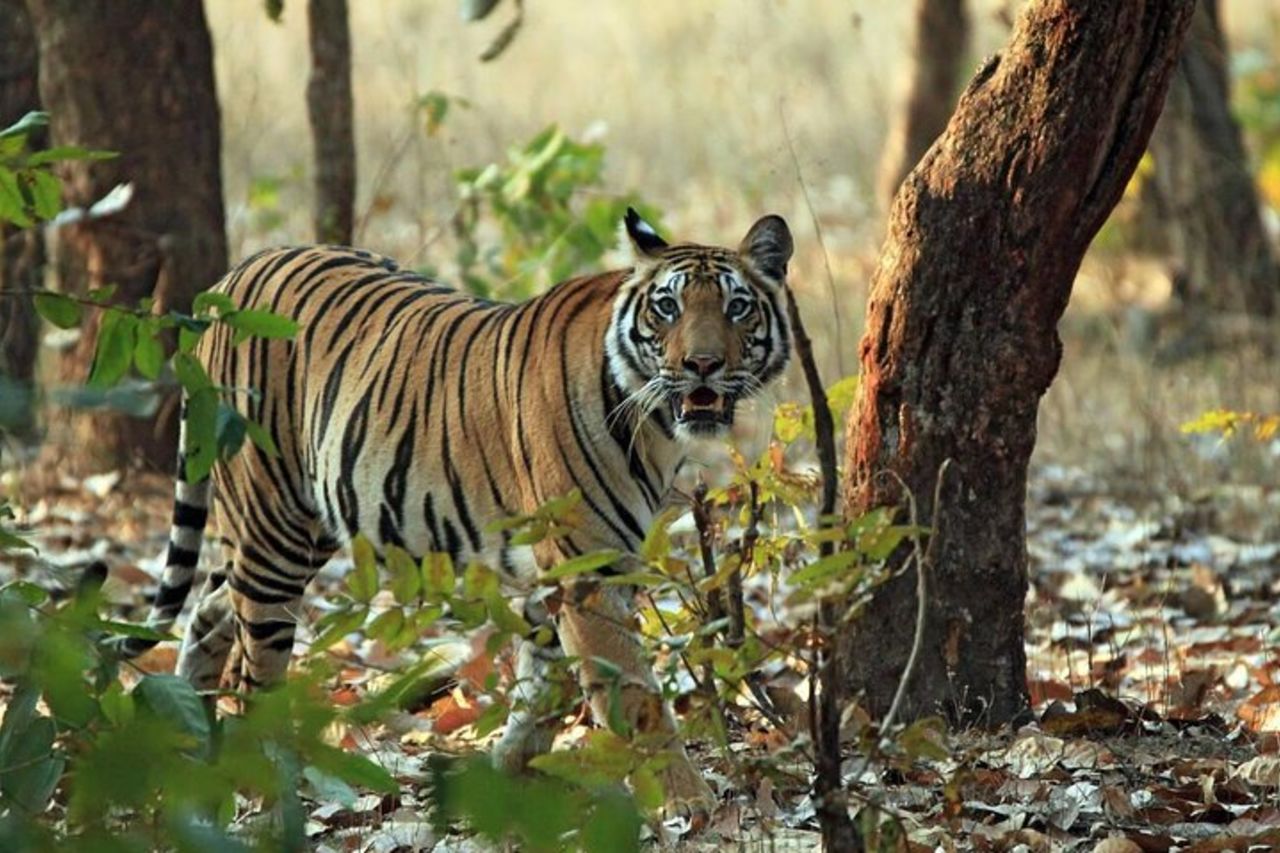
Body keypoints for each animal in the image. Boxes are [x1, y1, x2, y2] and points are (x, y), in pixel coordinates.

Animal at [117, 208, 793, 815]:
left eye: (737, 307)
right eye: (668, 308)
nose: (702, 364)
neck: (655, 428)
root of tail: (234, 276)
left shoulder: (564, 572)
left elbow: (542, 685)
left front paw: (507, 775)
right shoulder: (586, 570)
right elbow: (633, 692)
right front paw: (690, 802)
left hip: (304, 524)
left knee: (210, 610)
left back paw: (188, 738)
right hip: (272, 524)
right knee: (256, 662)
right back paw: (260, 780)